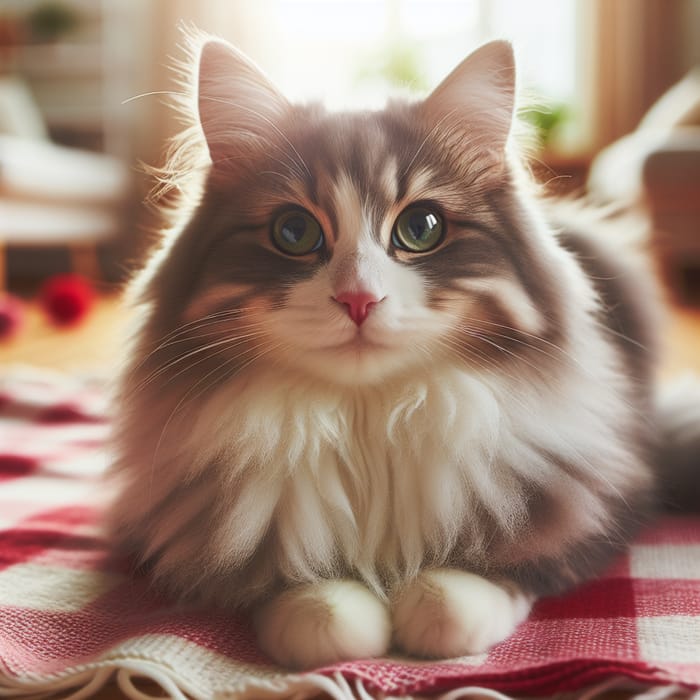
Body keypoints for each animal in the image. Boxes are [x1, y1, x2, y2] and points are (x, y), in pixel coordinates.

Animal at [105, 34, 700, 672]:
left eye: (422, 227)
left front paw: (432, 609)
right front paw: (345, 619)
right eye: (293, 232)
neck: (370, 420)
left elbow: (471, 588)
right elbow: (314, 609)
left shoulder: (589, 506)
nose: (359, 299)